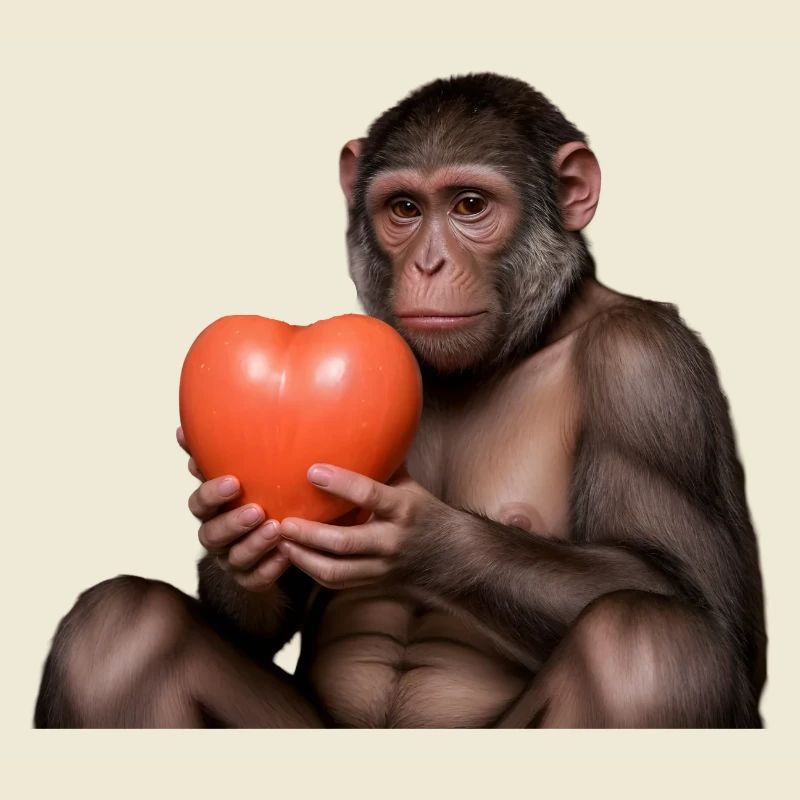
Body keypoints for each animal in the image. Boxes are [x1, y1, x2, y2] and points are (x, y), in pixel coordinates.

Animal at [34, 72, 766, 728]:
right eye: (405, 210)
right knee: (122, 627)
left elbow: (697, 601)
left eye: (470, 206)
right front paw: (229, 537)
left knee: (643, 642)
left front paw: (427, 541)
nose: (429, 264)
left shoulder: (649, 374)